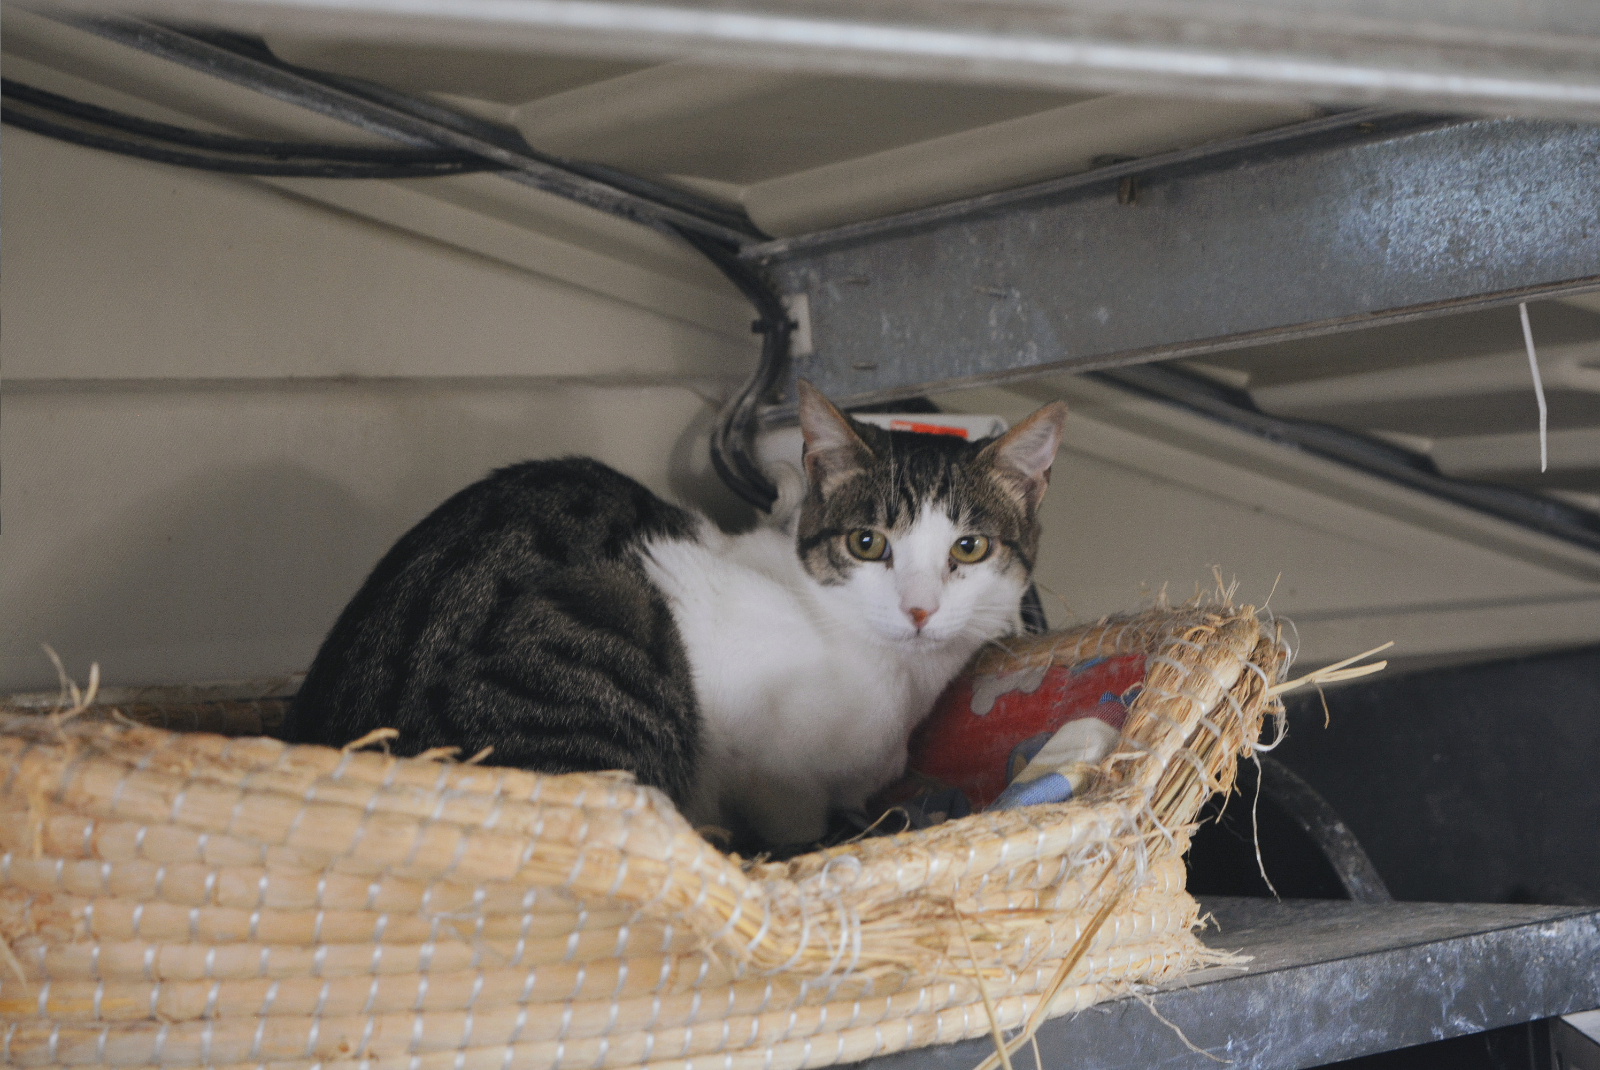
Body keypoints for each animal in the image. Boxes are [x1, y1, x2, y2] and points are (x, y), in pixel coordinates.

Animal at [283, 381, 1066, 849]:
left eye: (968, 548)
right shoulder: (763, 759)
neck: (896, 681)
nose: (919, 609)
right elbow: (787, 819)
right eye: (867, 543)